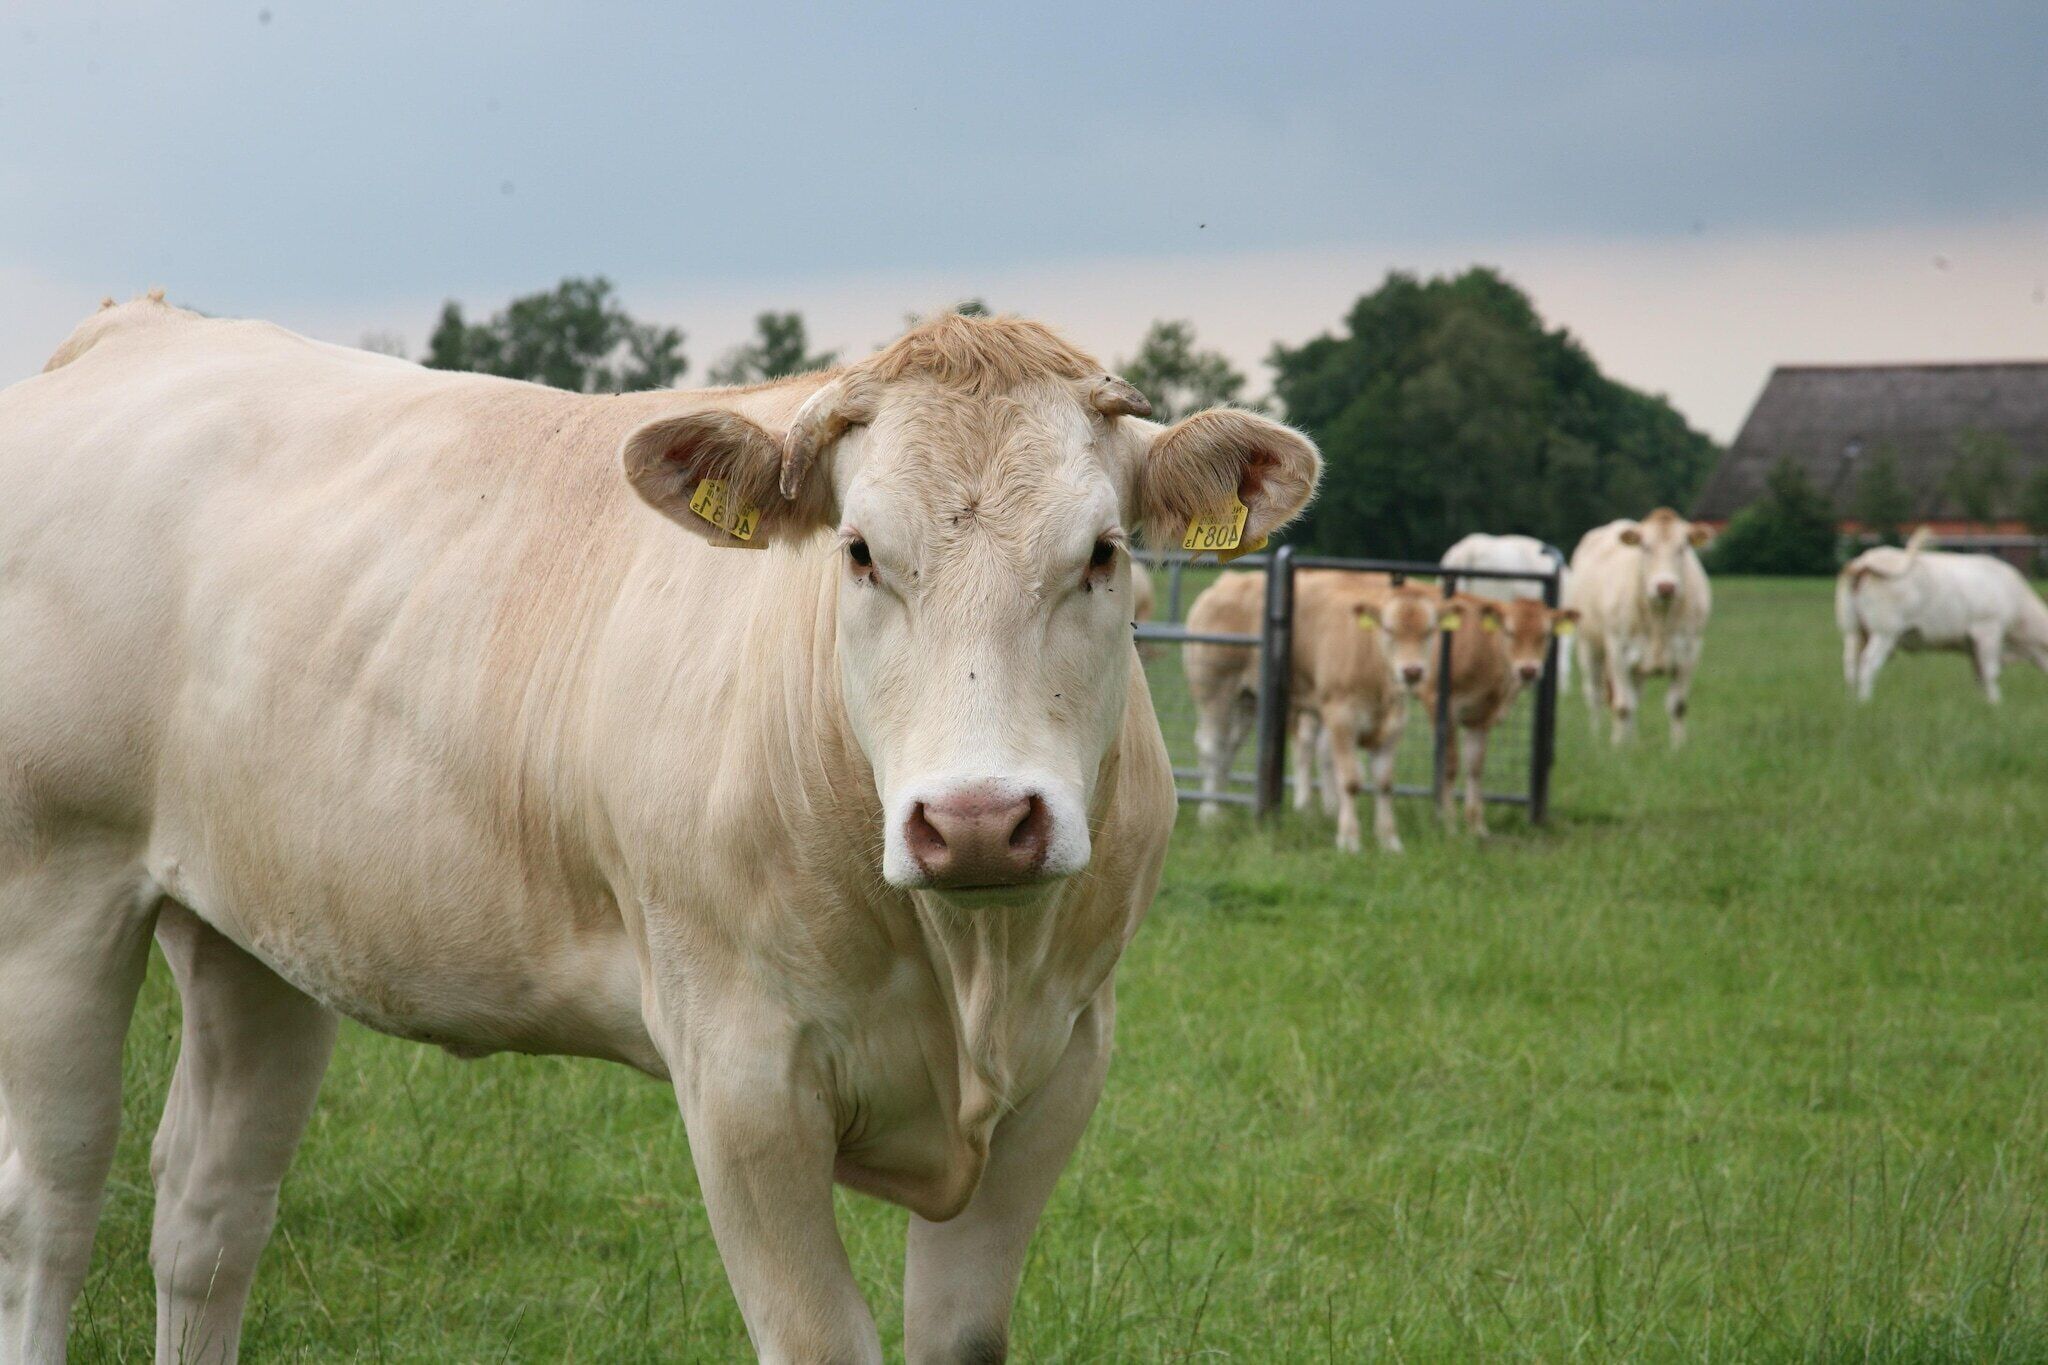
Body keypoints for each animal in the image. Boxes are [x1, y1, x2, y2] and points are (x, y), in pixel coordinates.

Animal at [0, 296, 1320, 1364]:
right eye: (858, 552)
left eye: (1100, 553)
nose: (980, 822)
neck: (971, 974)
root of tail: (140, 329)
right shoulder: (740, 1075)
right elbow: (819, 1340)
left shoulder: (1062, 1065)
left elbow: (960, 1337)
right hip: (54, 895)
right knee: (50, 1208)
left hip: (256, 931)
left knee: (209, 1211)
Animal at [1565, 509, 1712, 745]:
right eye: (1645, 547)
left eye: (1682, 548)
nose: (1665, 586)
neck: (1659, 618)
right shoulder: (1618, 650)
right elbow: (1623, 706)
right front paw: (1618, 747)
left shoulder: (1690, 651)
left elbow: (1678, 706)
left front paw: (1678, 747)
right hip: (1589, 647)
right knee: (1596, 694)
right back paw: (1597, 736)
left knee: (1635, 696)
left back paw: (1633, 740)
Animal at [1837, 528, 2048, 702]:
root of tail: (1866, 560)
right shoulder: (1987, 631)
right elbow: (1991, 673)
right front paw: (1996, 704)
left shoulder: (1973, 646)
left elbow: (1979, 677)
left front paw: (1985, 705)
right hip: (1884, 632)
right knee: (1868, 663)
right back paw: (1865, 702)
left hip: (1853, 632)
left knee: (1850, 666)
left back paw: (1851, 703)